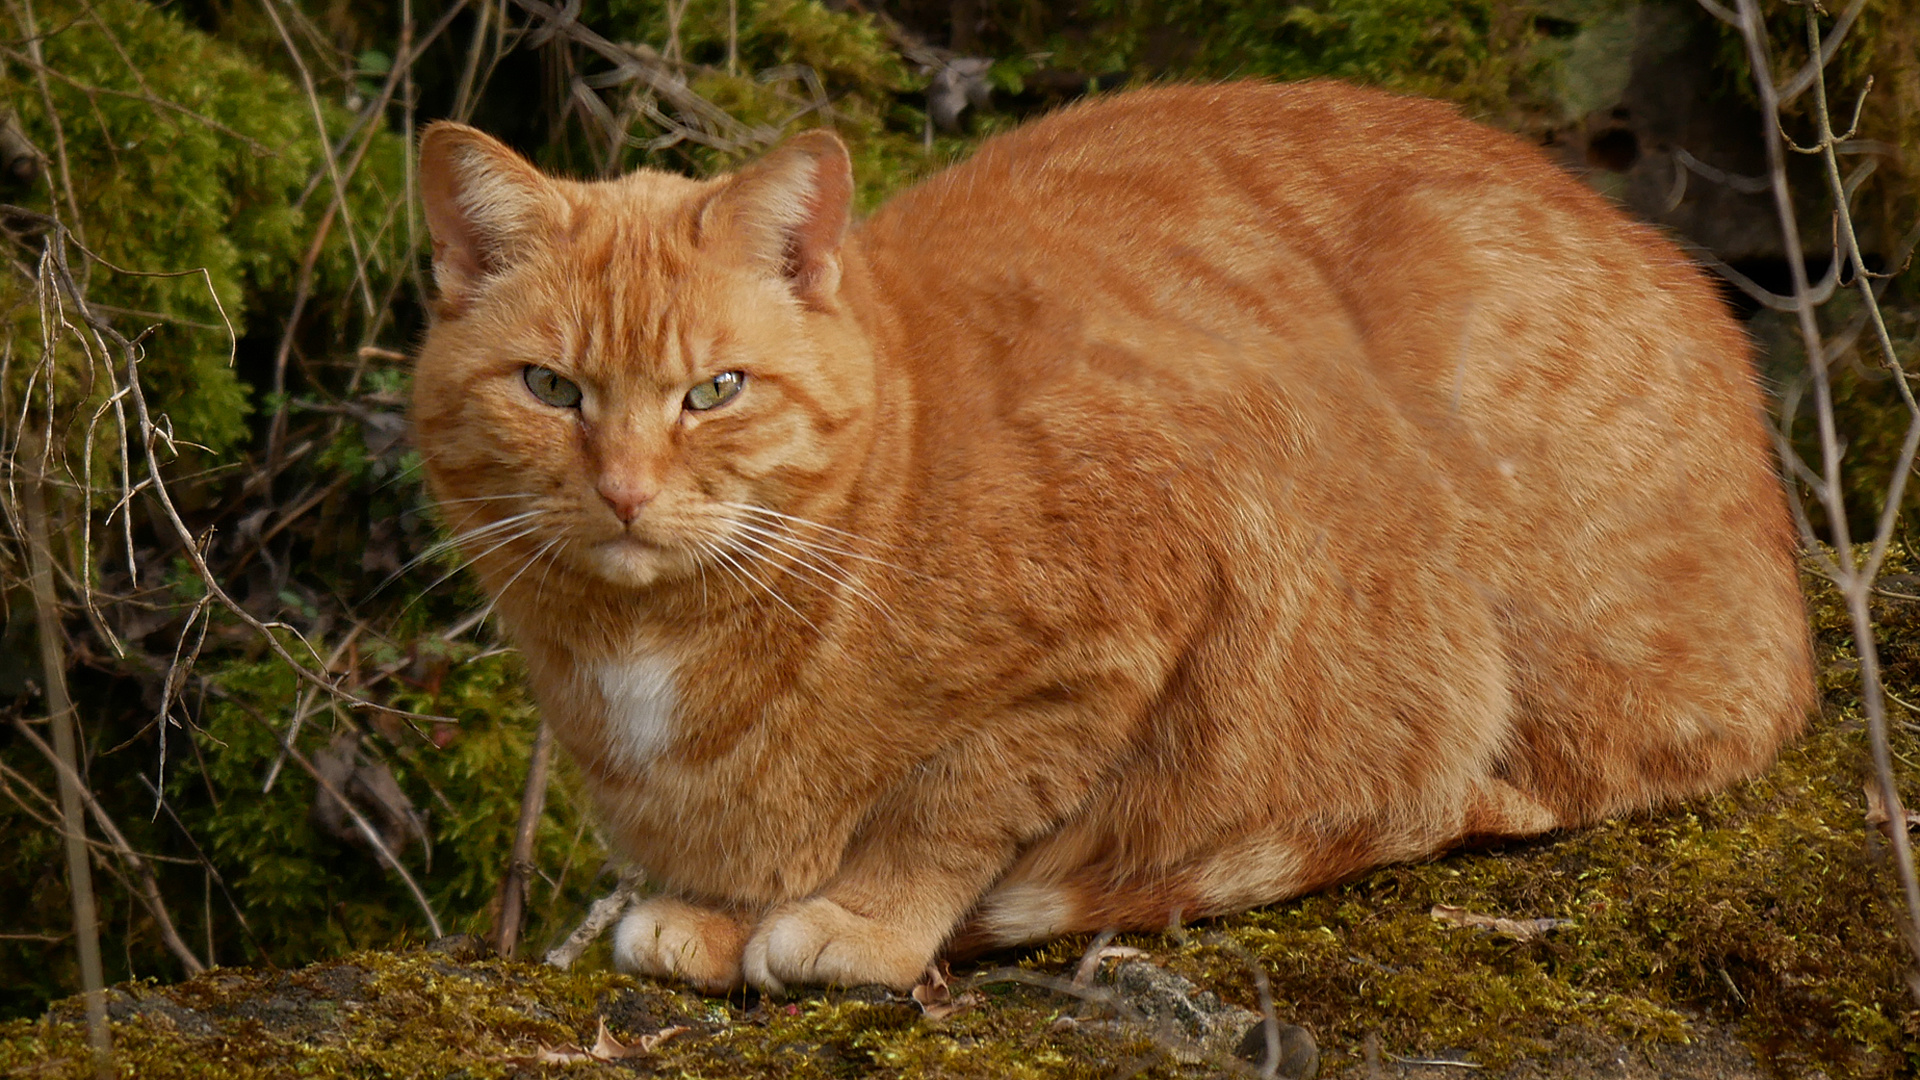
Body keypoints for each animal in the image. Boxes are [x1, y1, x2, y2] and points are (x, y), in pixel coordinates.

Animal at [412, 79, 1804, 991]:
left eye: (714, 391)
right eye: (550, 389)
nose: (626, 491)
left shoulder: (1141, 607)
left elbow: (955, 800)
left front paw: (864, 919)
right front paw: (708, 912)